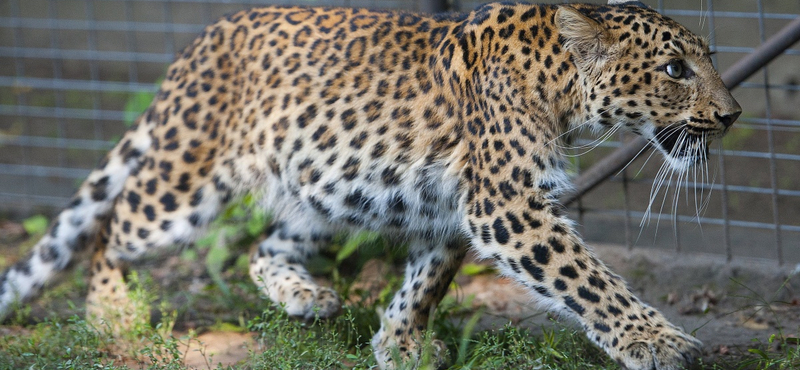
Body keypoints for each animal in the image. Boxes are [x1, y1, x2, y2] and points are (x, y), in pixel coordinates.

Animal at [0, 1, 740, 368]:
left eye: (707, 59)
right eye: (675, 69)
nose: (732, 115)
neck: (563, 89)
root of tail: (201, 42)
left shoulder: (451, 206)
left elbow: (428, 279)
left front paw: (400, 344)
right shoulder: (507, 206)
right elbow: (586, 280)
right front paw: (657, 342)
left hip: (327, 192)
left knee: (263, 247)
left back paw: (305, 298)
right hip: (184, 183)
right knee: (113, 223)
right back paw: (111, 313)